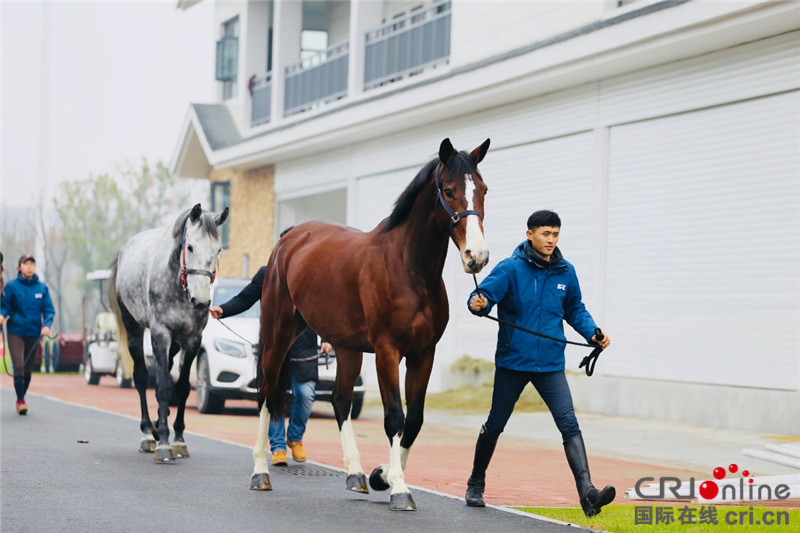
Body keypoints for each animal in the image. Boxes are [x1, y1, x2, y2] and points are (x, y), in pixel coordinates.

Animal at [108, 204, 228, 462]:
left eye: (218, 250)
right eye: (190, 246)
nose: (201, 301)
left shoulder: (192, 339)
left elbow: (181, 388)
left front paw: (179, 440)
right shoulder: (160, 334)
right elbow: (162, 386)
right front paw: (163, 442)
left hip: (174, 343)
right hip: (134, 328)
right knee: (141, 377)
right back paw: (148, 432)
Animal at [250, 137, 490, 508]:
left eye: (483, 190)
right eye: (449, 191)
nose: (476, 257)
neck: (409, 269)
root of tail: (290, 238)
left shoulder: (424, 353)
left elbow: (414, 420)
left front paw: (382, 476)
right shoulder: (387, 350)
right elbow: (394, 417)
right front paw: (400, 489)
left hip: (346, 347)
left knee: (340, 401)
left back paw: (356, 475)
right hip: (279, 333)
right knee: (266, 393)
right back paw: (260, 472)